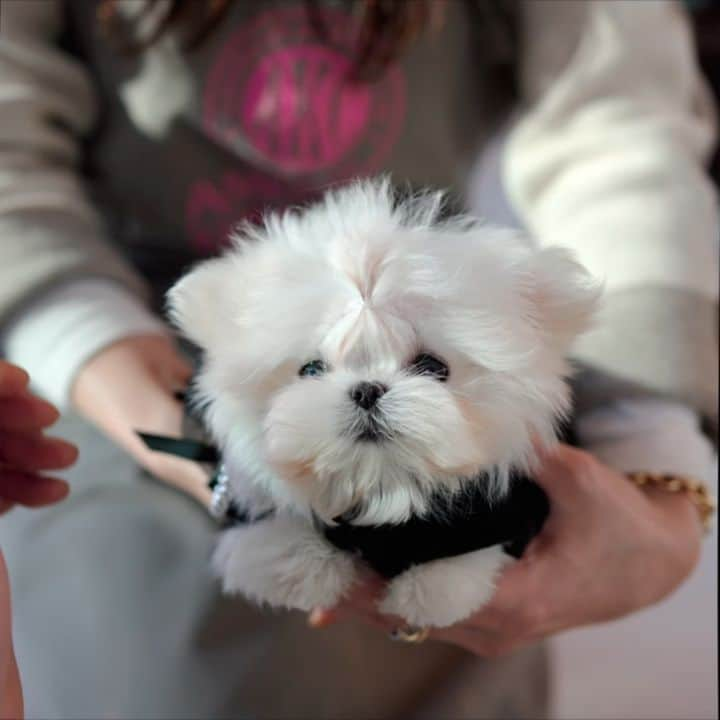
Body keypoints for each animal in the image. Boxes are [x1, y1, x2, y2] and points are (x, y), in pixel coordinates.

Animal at [170, 179, 600, 632]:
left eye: (432, 366)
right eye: (311, 369)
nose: (367, 390)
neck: (382, 484)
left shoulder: (506, 510)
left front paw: (434, 586)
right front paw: (301, 564)